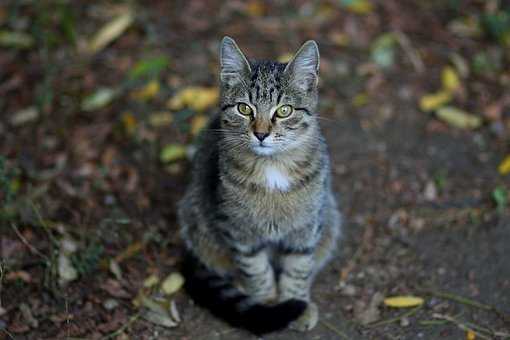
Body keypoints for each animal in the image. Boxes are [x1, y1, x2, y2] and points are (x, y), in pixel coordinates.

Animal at [177, 37, 340, 334]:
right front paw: (268, 303)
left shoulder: (306, 229)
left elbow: (298, 269)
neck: (272, 168)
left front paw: (296, 303)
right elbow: (257, 270)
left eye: (284, 111)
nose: (261, 134)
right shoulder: (240, 233)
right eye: (244, 108)